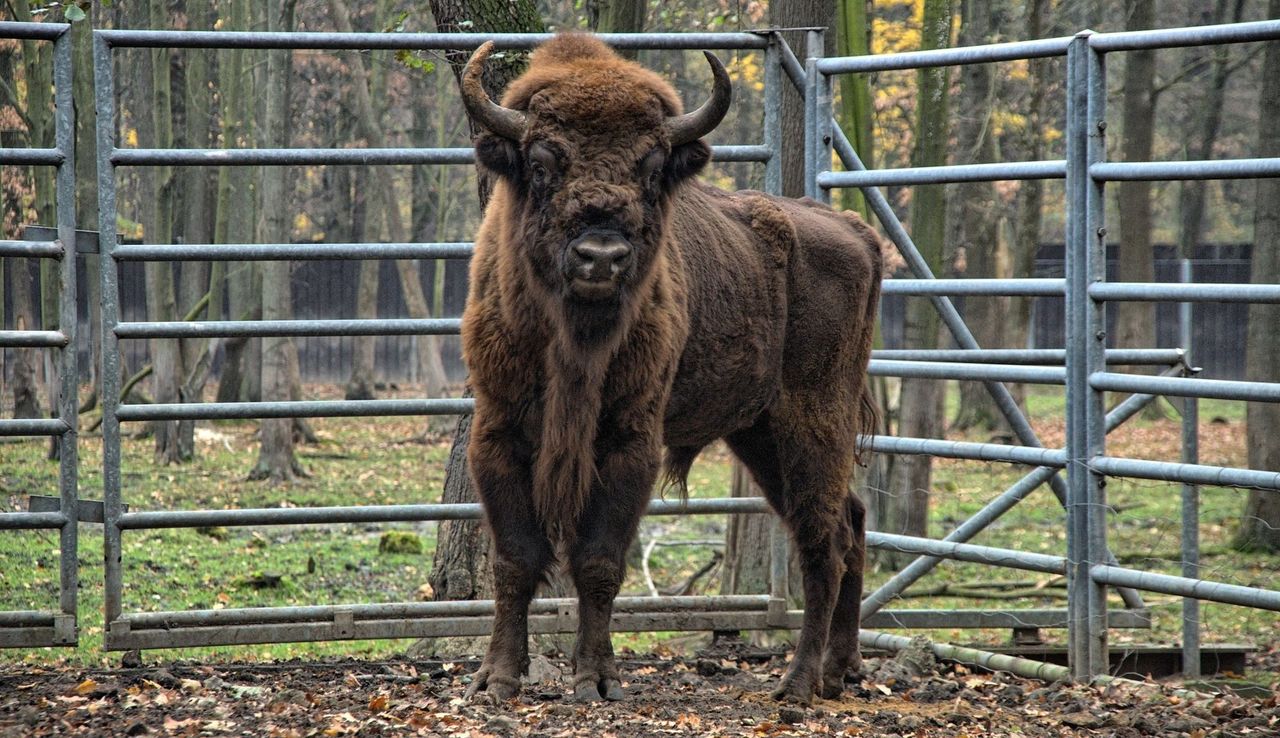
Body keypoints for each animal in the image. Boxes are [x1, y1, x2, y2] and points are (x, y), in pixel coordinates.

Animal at [463, 34, 890, 700]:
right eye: (540, 163)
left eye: (652, 167)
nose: (601, 256)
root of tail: (855, 231)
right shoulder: (498, 431)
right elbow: (516, 558)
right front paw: (498, 679)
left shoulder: (630, 439)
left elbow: (599, 560)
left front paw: (597, 680)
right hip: (760, 433)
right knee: (848, 522)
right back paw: (839, 671)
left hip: (815, 418)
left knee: (824, 540)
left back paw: (797, 685)